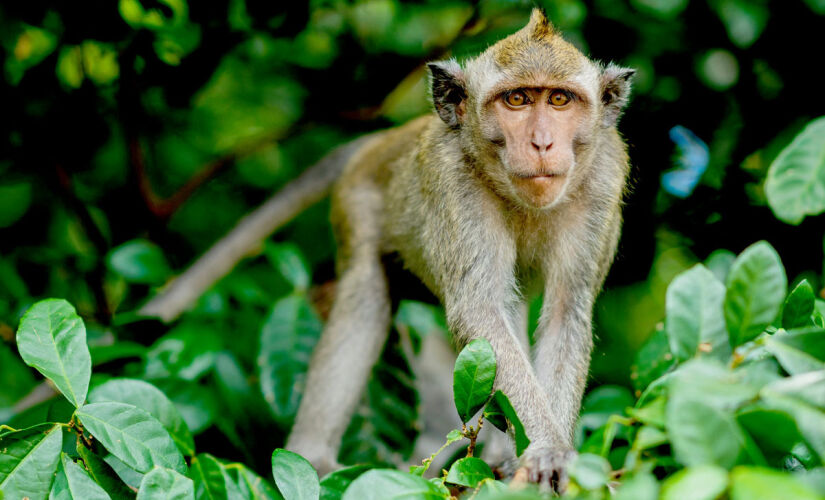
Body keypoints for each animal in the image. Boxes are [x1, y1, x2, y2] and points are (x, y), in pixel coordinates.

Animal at [280, 9, 636, 490]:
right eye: (517, 99)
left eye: (560, 100)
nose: (542, 143)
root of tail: (385, 140)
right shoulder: (454, 182)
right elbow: (479, 310)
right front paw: (549, 450)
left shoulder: (603, 179)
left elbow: (565, 313)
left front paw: (552, 456)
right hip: (357, 204)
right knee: (365, 298)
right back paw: (313, 459)